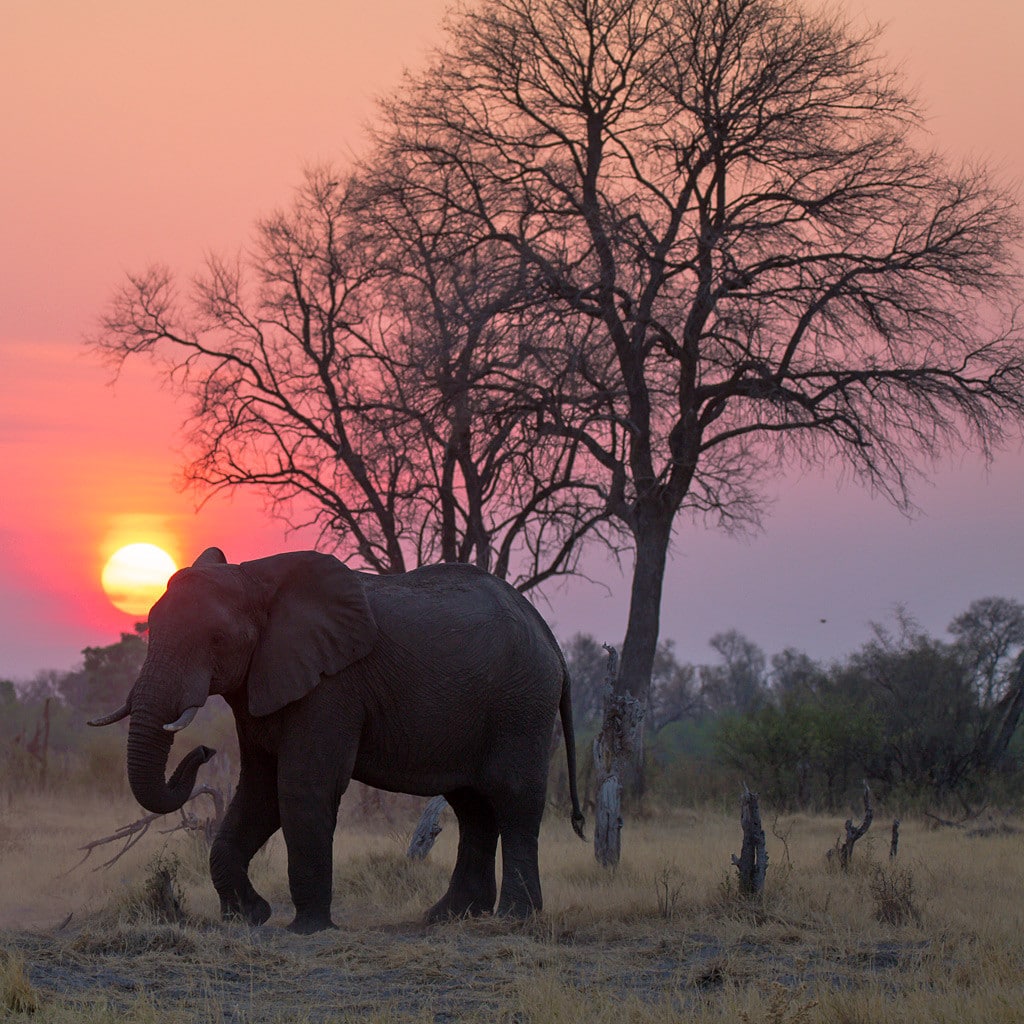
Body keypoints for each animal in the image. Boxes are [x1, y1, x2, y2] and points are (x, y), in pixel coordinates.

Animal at [90, 547, 585, 934]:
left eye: (216, 638)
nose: (205, 750)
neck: (254, 579)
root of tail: (549, 636)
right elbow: (260, 792)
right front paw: (249, 916)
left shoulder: (331, 686)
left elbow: (301, 785)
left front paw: (305, 928)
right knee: (472, 807)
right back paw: (448, 917)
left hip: (521, 703)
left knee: (513, 798)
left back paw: (514, 918)